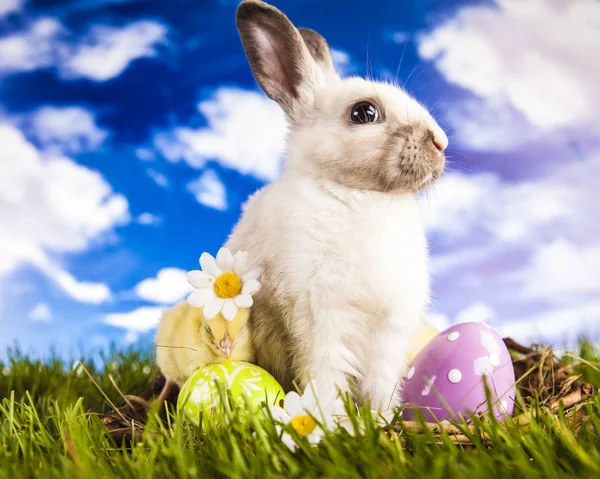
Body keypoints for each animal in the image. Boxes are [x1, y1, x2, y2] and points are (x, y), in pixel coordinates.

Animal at [227, 0, 448, 412]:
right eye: (363, 113)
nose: (441, 142)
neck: (361, 195)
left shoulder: (388, 328)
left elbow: (380, 379)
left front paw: (383, 418)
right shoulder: (318, 319)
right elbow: (327, 373)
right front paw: (330, 421)